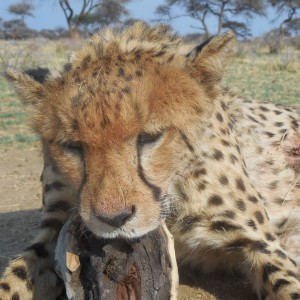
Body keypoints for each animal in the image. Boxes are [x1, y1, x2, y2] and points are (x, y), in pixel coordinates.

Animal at [0, 22, 298, 298]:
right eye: (72, 146)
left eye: (150, 137)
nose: (114, 218)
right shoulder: (55, 227)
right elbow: (13, 279)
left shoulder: (262, 243)